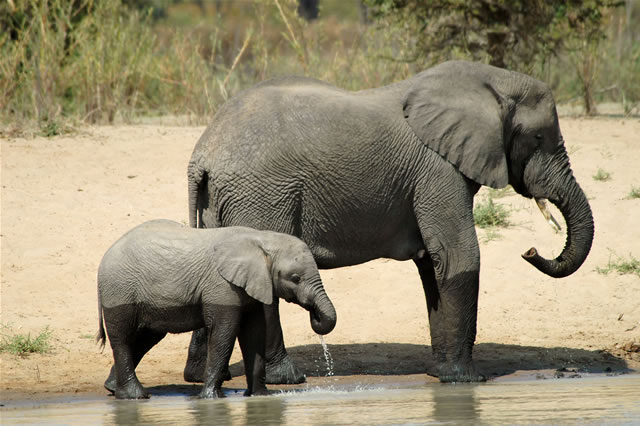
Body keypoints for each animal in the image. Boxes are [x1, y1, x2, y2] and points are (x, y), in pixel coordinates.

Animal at [97, 220, 338, 400]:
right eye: (295, 278)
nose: (313, 314)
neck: (261, 239)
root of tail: (104, 257)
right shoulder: (222, 286)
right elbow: (224, 333)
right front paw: (210, 398)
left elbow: (254, 334)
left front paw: (259, 396)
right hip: (119, 290)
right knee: (123, 339)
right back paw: (135, 396)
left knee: (145, 338)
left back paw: (114, 389)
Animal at [184, 60, 596, 382]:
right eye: (538, 137)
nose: (530, 251)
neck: (487, 82)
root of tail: (202, 155)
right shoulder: (437, 169)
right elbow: (459, 257)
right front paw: (466, 380)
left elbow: (433, 264)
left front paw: (441, 375)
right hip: (262, 195)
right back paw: (288, 379)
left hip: (220, 203)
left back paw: (202, 377)